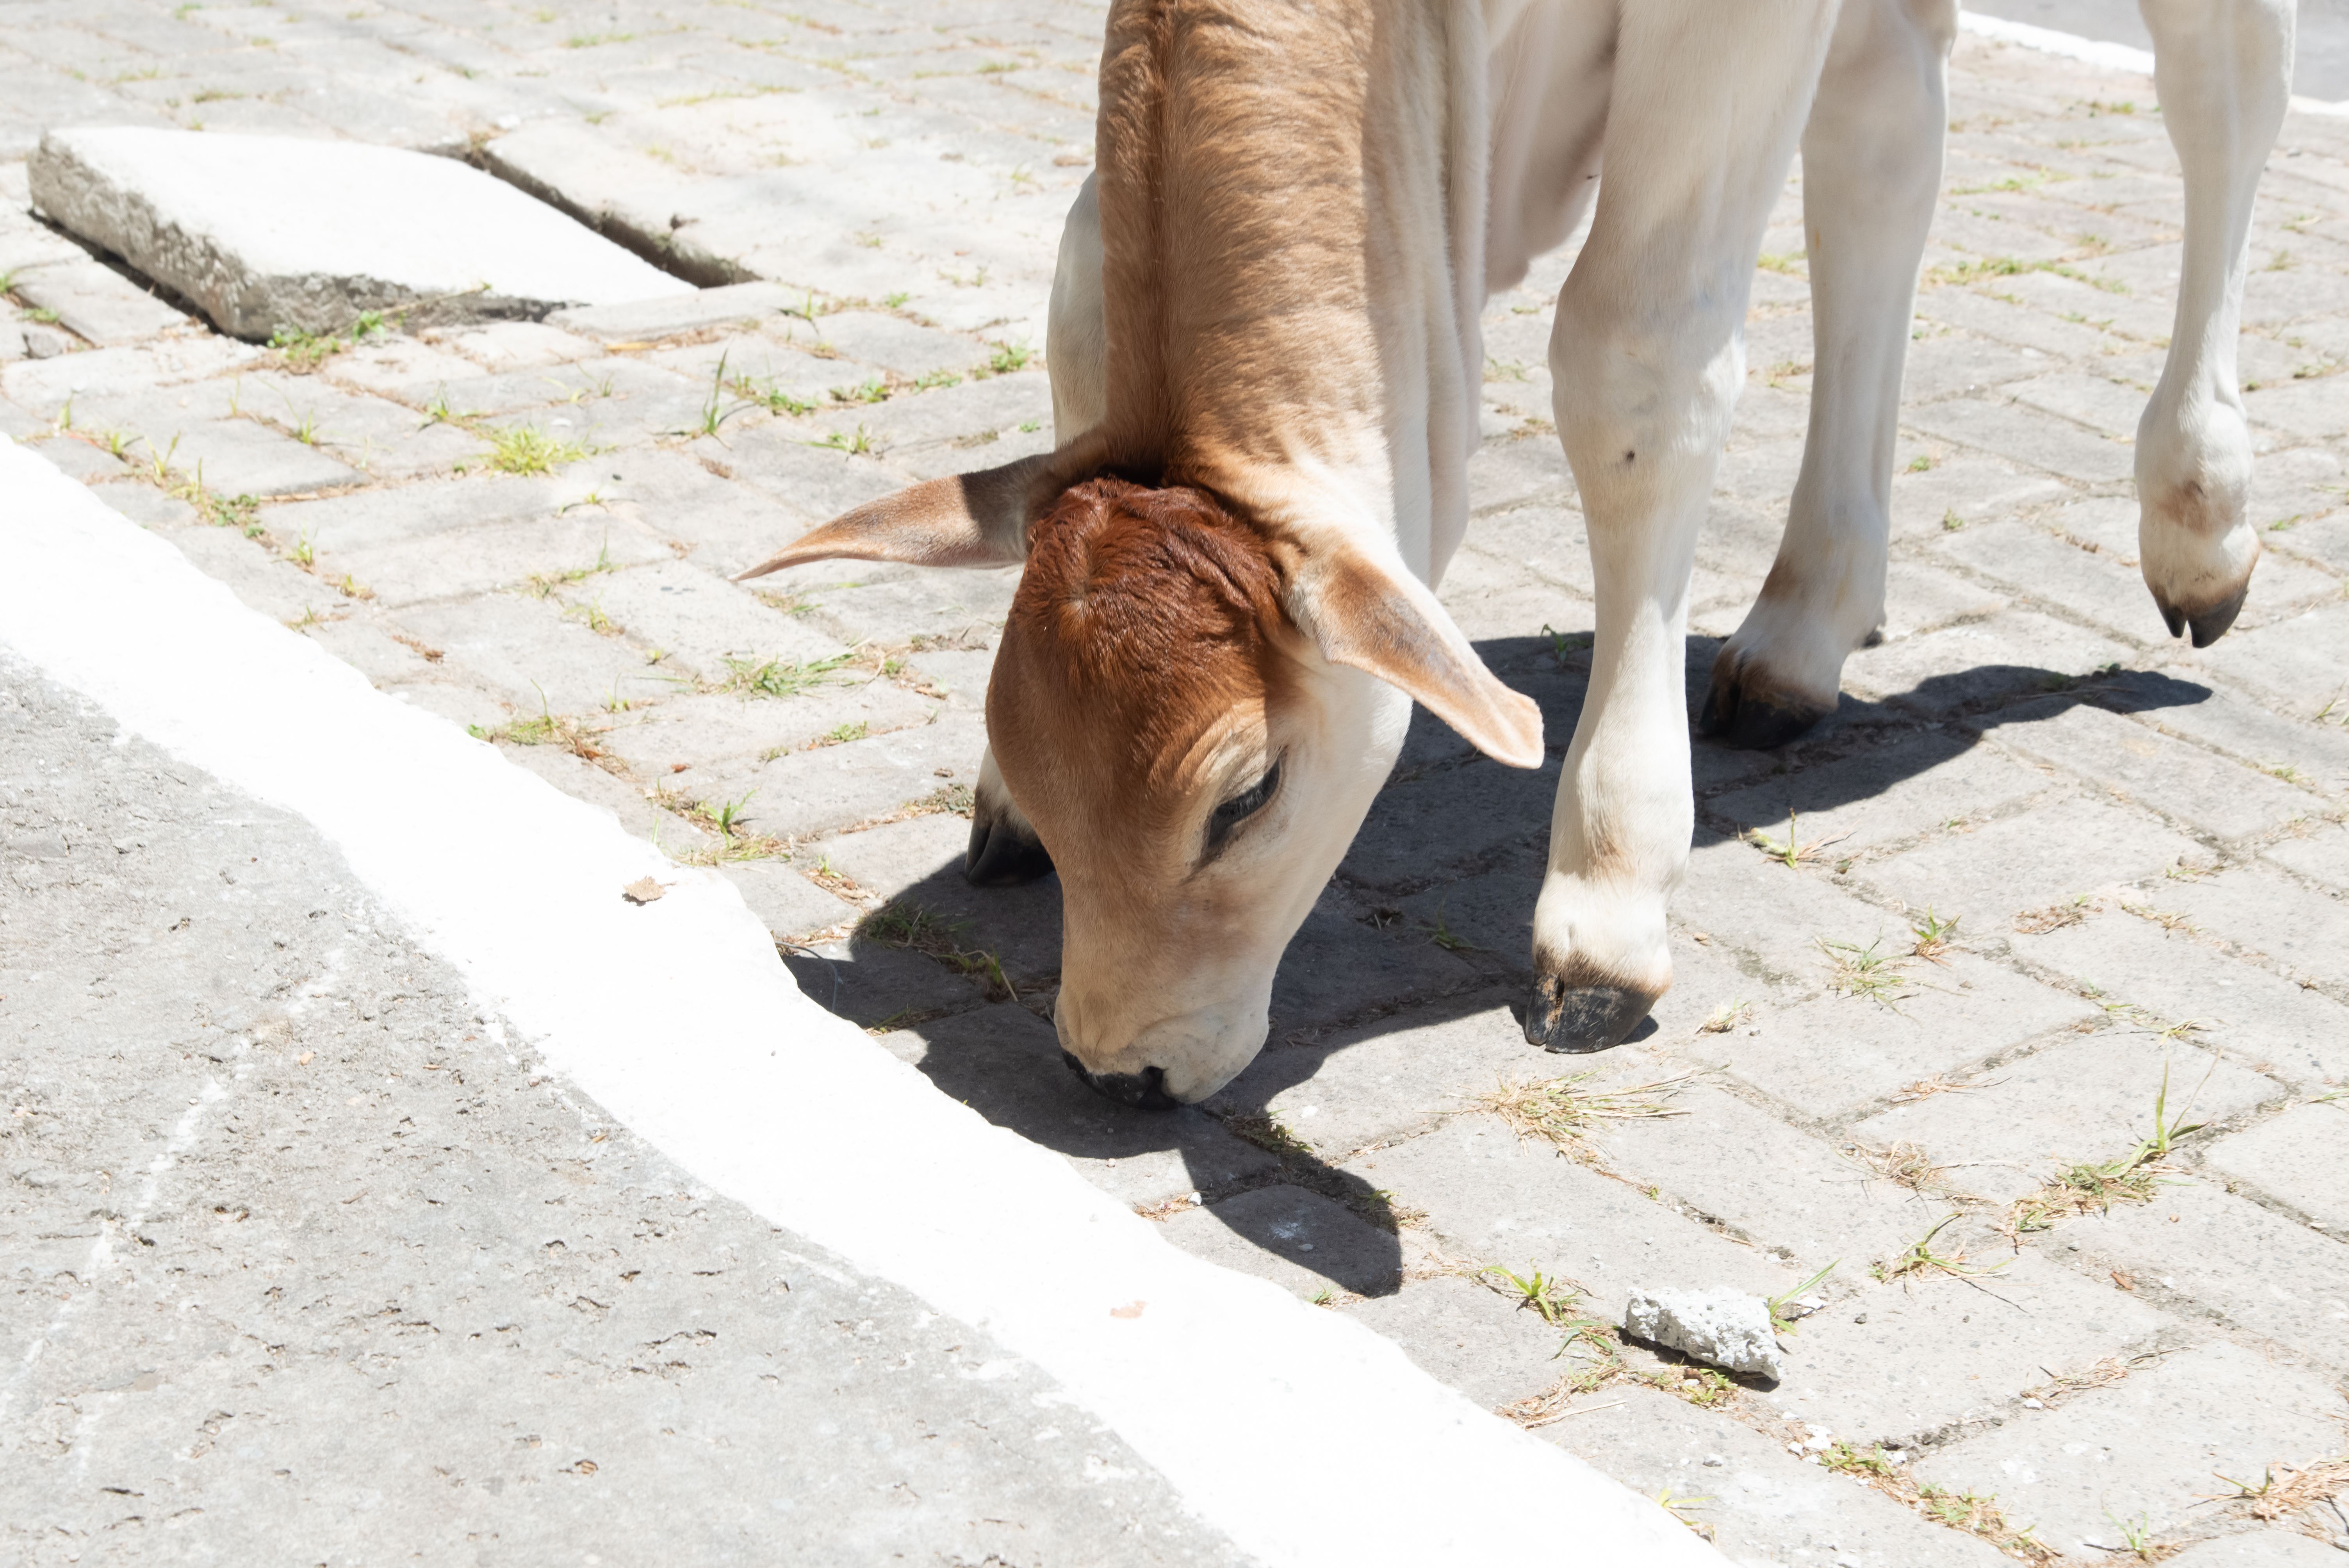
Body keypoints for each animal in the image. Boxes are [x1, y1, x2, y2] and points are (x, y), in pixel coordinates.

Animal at [740, 0, 2295, 1106]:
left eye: (1242, 800)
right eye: (1028, 742)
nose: (1115, 1068)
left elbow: (1633, 361)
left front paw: (1608, 897)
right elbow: (1072, 281)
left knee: (2224, 88)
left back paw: (2198, 519)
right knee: (1881, 141)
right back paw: (1804, 623)